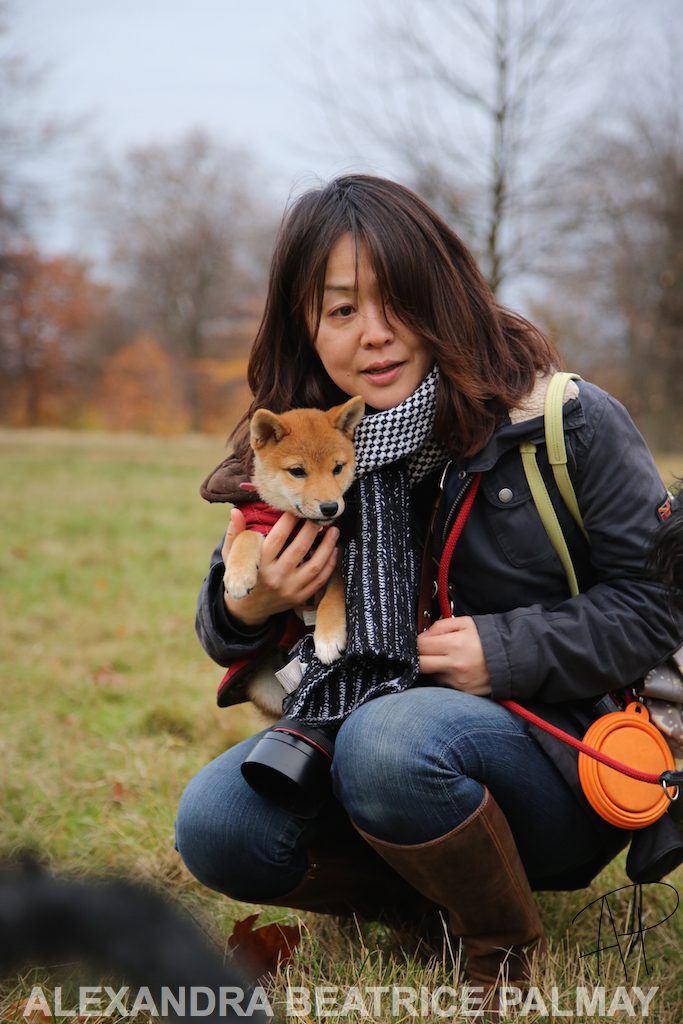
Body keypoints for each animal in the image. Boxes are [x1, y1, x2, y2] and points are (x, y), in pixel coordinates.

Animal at [223, 395, 362, 667]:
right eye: (298, 471)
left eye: (337, 468)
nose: (330, 508)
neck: (301, 523)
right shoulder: (261, 526)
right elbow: (244, 535)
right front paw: (238, 574)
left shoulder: (338, 550)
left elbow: (335, 592)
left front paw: (328, 635)